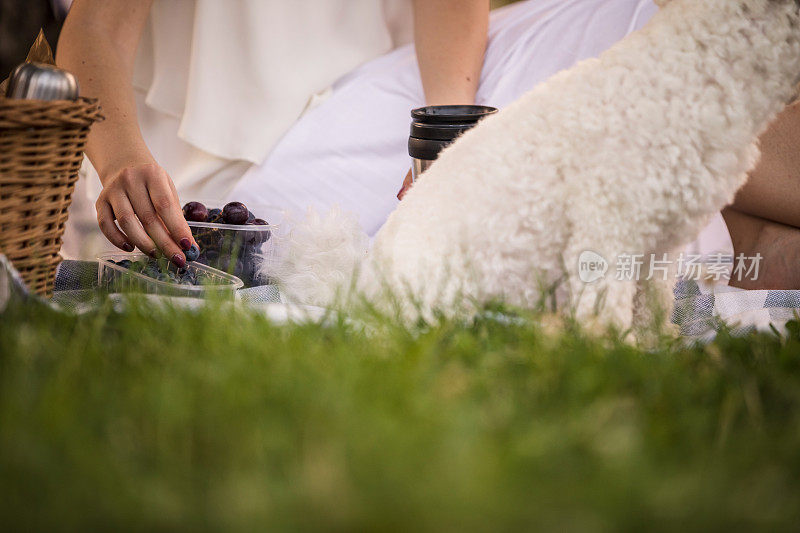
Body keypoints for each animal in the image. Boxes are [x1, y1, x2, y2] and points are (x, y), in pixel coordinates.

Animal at [276, 0, 800, 332]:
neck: (693, 71)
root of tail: (360, 286)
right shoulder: (606, 227)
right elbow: (606, 313)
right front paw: (617, 354)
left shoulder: (661, 240)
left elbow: (653, 301)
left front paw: (658, 344)